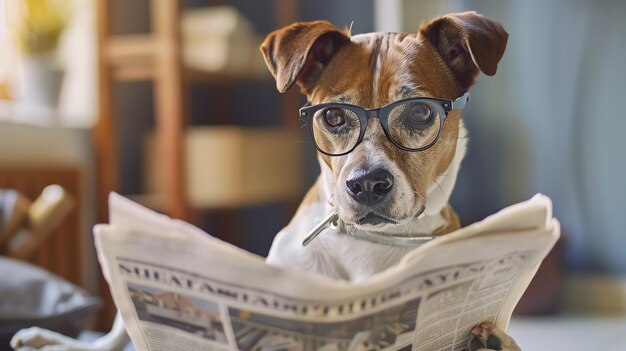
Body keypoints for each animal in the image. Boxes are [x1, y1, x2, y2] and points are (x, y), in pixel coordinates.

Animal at [12, 11, 520, 351]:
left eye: (418, 112)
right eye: (333, 115)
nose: (367, 185)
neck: (368, 244)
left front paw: (487, 339)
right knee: (113, 338)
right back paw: (44, 339)